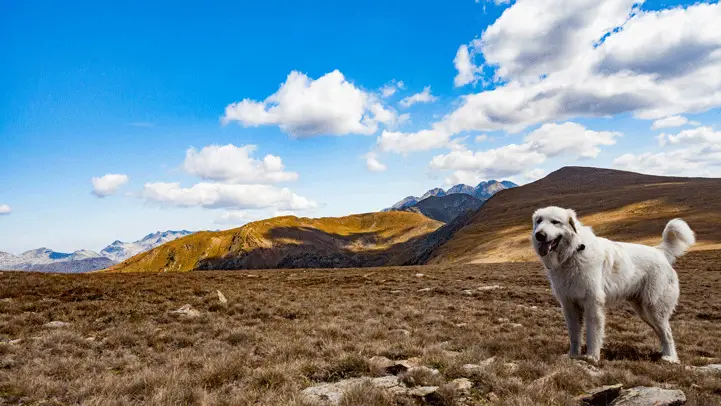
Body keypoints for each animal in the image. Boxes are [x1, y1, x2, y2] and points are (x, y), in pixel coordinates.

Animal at [532, 206, 696, 362]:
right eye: (539, 221)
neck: (573, 252)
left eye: (555, 222)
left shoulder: (592, 303)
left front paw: (592, 356)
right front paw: (573, 355)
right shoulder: (569, 305)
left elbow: (593, 333)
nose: (539, 235)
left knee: (667, 333)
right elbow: (574, 335)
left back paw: (670, 358)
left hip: (654, 308)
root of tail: (660, 252)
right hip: (644, 311)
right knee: (661, 332)